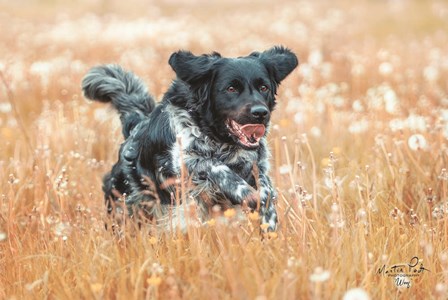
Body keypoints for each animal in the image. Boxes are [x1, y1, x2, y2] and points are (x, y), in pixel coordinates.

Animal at [81, 45, 298, 231]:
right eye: (231, 88)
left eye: (264, 88)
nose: (260, 113)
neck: (221, 141)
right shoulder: (185, 161)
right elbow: (215, 166)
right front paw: (245, 193)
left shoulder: (256, 163)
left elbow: (265, 188)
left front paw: (268, 218)